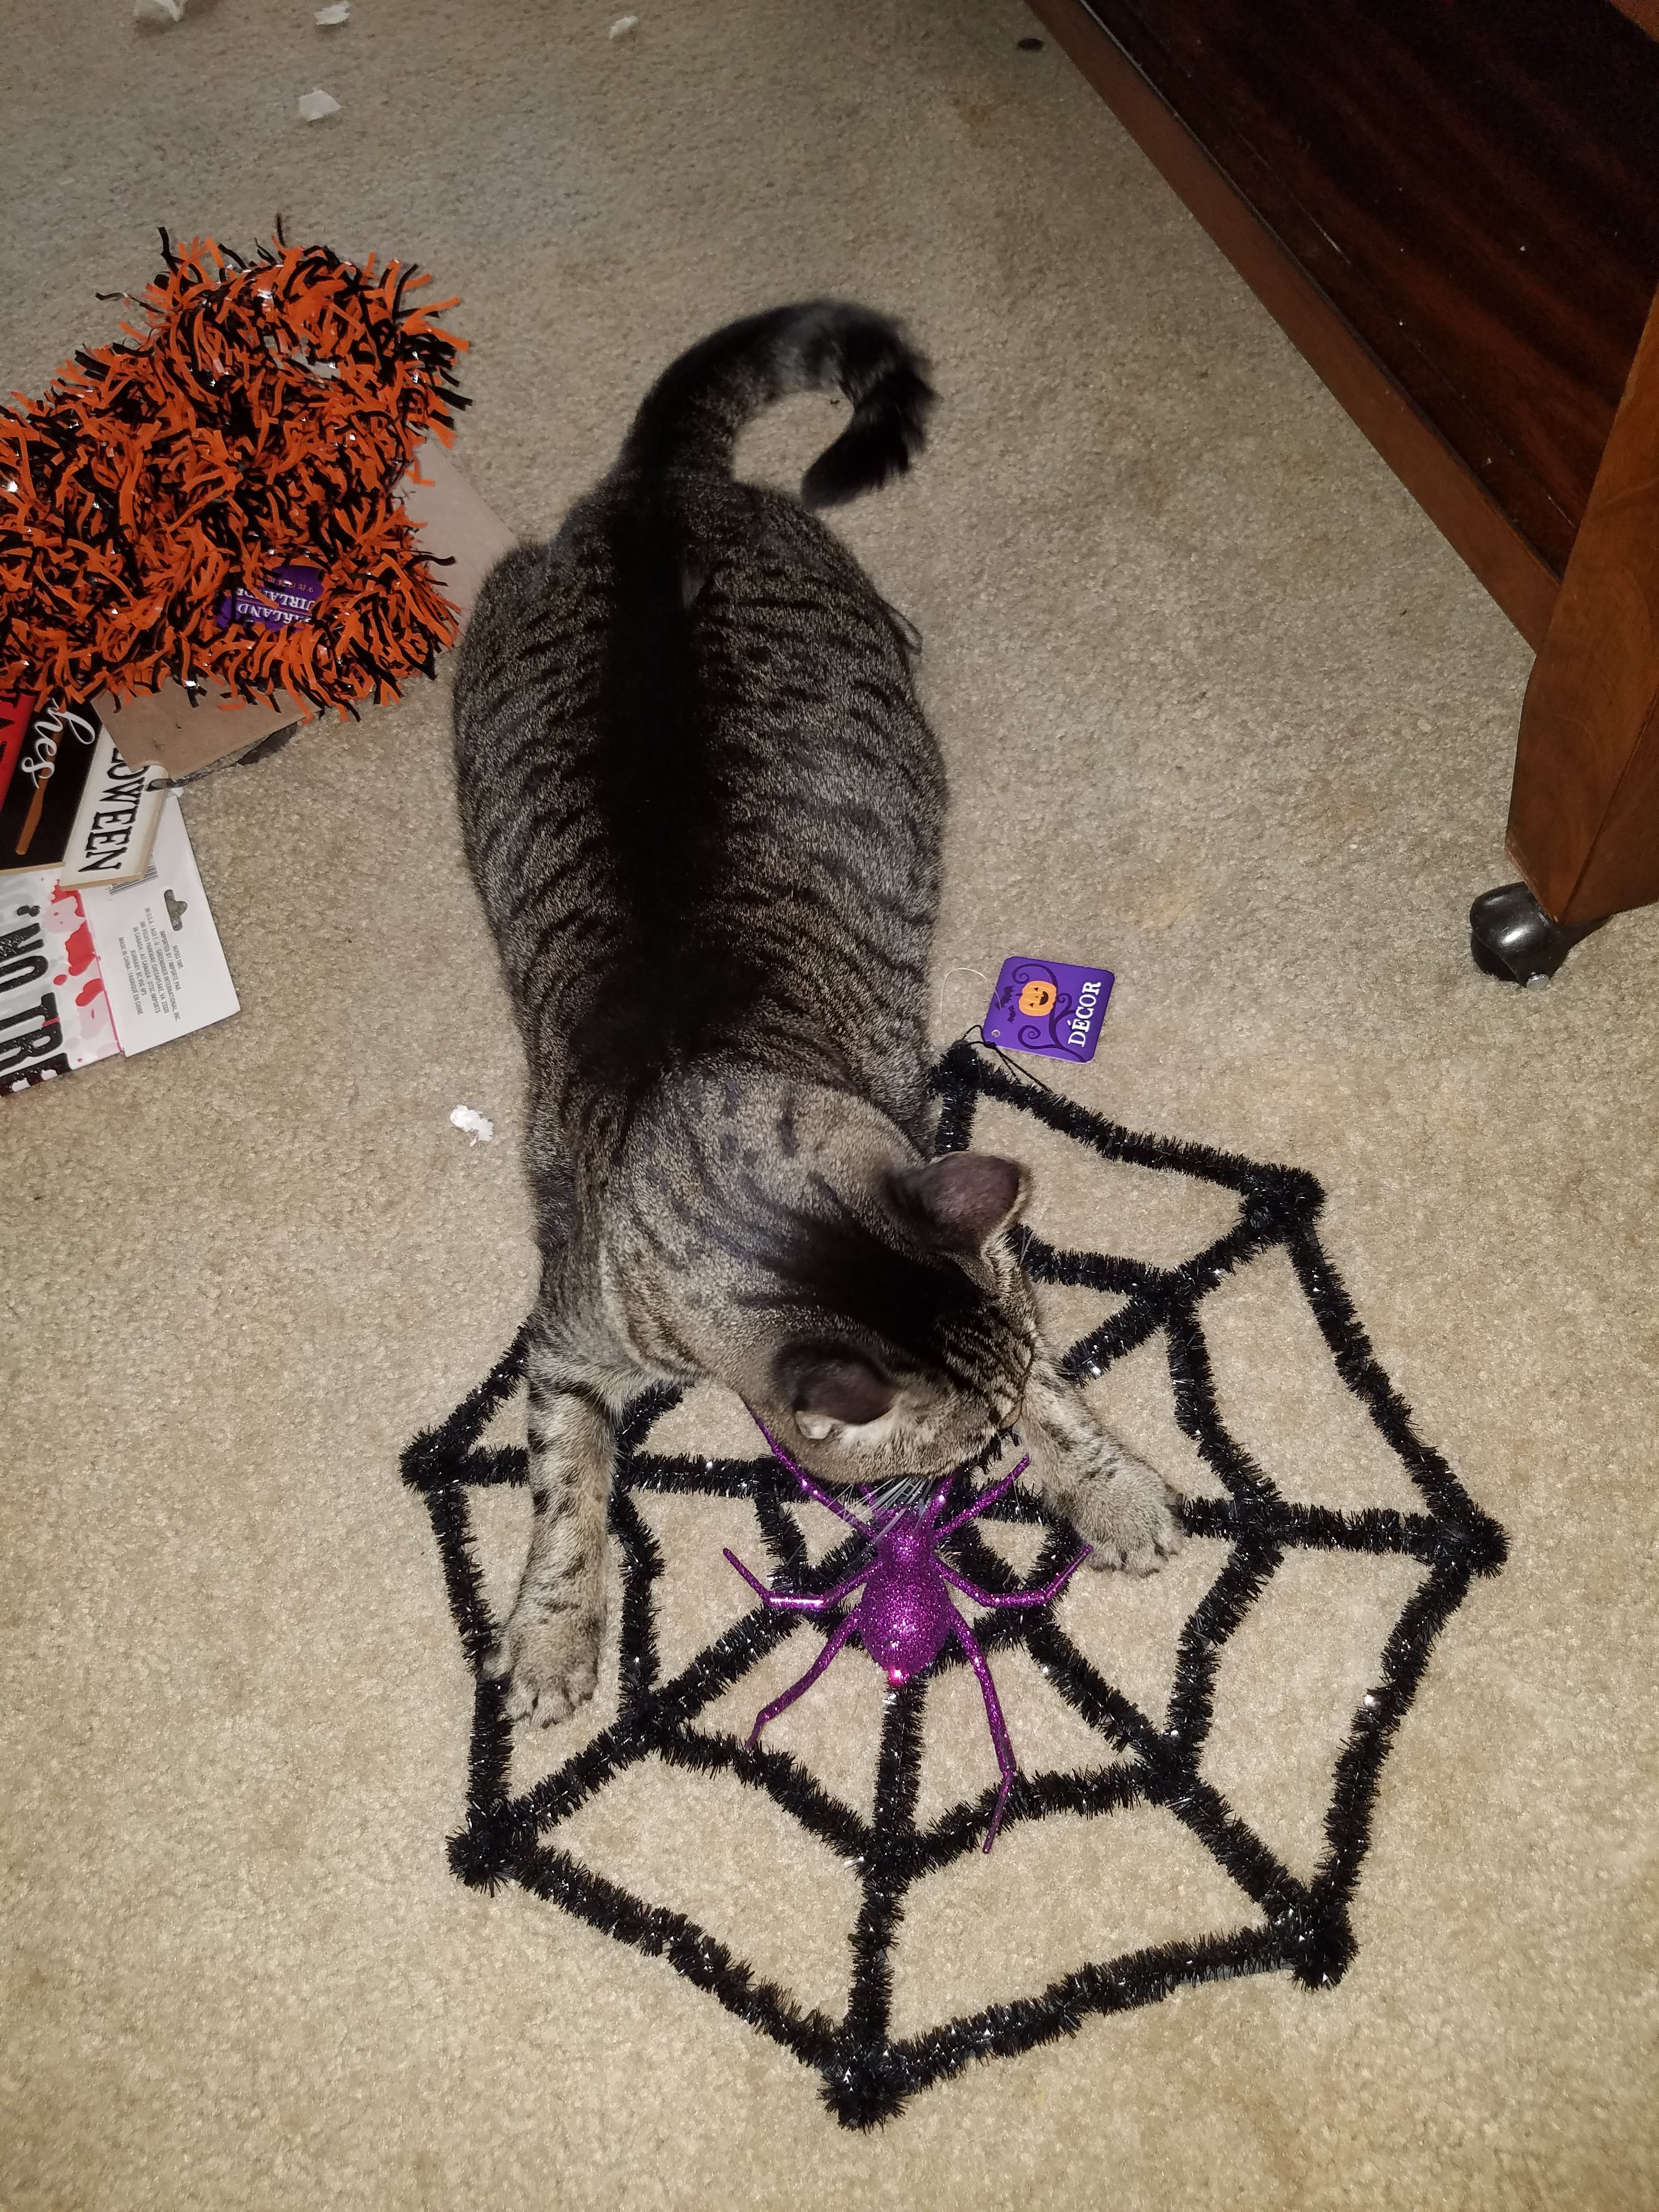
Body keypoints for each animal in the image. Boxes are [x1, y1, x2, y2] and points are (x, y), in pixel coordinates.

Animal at [452, 302, 1181, 1726]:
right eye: (960, 1449)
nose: (972, 1475)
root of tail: (654, 490)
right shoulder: (559, 1347)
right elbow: (567, 1491)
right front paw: (556, 1635)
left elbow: (1061, 1392)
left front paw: (1105, 1482)